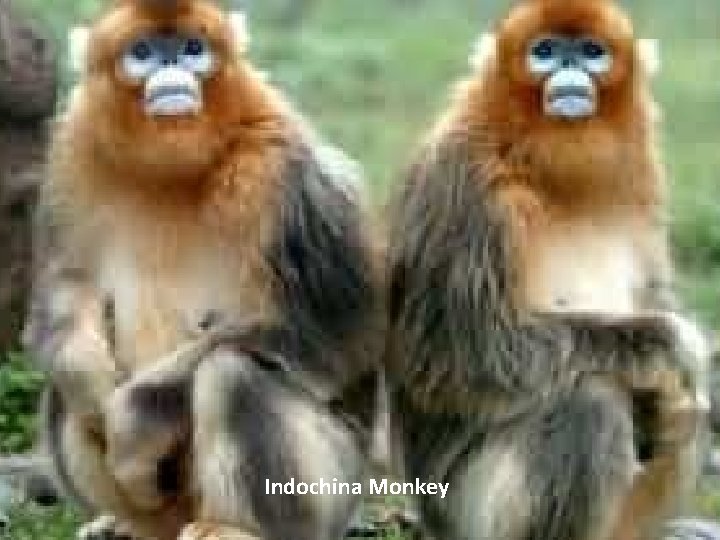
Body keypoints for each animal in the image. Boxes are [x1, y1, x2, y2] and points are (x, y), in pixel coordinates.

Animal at [23, 0, 383, 538]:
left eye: (193, 48)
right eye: (143, 52)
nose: (171, 65)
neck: (172, 170)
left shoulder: (285, 171)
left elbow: (330, 333)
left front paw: (132, 424)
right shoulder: (73, 153)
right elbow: (67, 283)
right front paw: (90, 379)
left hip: (332, 490)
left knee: (232, 368)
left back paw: (233, 527)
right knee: (65, 394)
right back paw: (129, 522)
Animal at [385, 1, 709, 539]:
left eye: (592, 51)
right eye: (545, 51)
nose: (569, 67)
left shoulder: (643, 175)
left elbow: (654, 294)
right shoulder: (464, 181)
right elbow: (462, 351)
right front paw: (668, 343)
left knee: (691, 413)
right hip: (469, 511)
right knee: (589, 400)